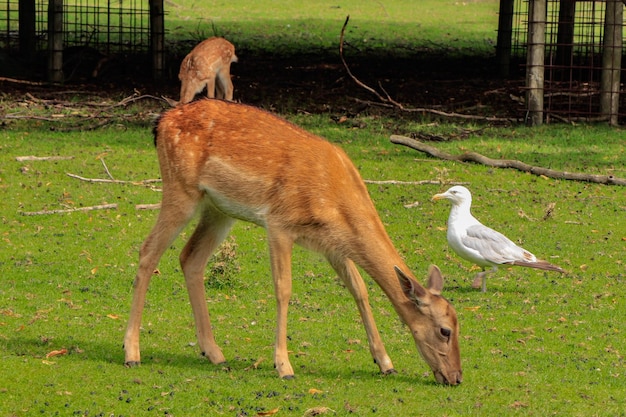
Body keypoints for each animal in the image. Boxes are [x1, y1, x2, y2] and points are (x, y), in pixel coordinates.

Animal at [124, 99, 460, 386]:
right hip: (180, 189)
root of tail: (161, 122)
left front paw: (385, 362)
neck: (336, 200)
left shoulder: (332, 244)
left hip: (218, 210)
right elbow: (283, 289)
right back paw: (132, 352)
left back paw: (214, 353)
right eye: (444, 330)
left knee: (190, 257)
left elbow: (359, 289)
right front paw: (284, 366)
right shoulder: (279, 224)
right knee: (148, 251)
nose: (456, 377)